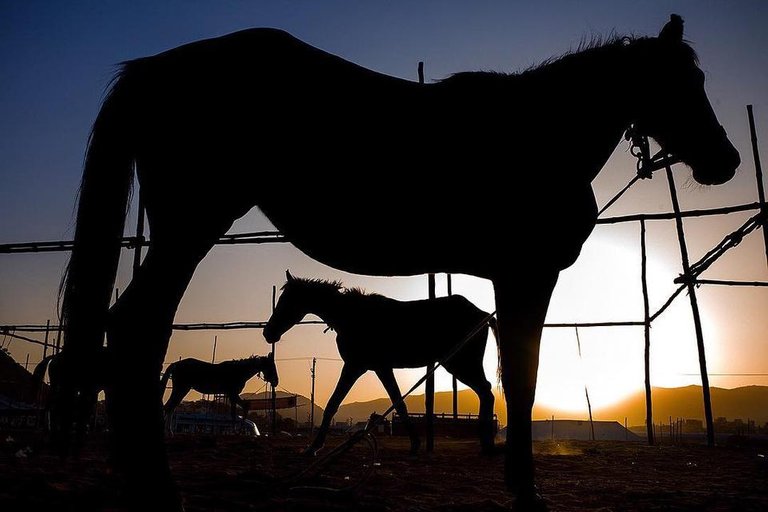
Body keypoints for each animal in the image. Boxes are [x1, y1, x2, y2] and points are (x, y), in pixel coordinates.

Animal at [264, 270, 498, 454]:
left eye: (287, 302)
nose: (268, 333)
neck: (351, 316)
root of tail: (484, 314)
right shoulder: (378, 367)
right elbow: (397, 402)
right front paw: (415, 442)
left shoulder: (356, 366)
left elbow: (333, 403)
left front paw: (314, 447)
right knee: (485, 392)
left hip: (461, 363)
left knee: (486, 391)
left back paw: (487, 443)